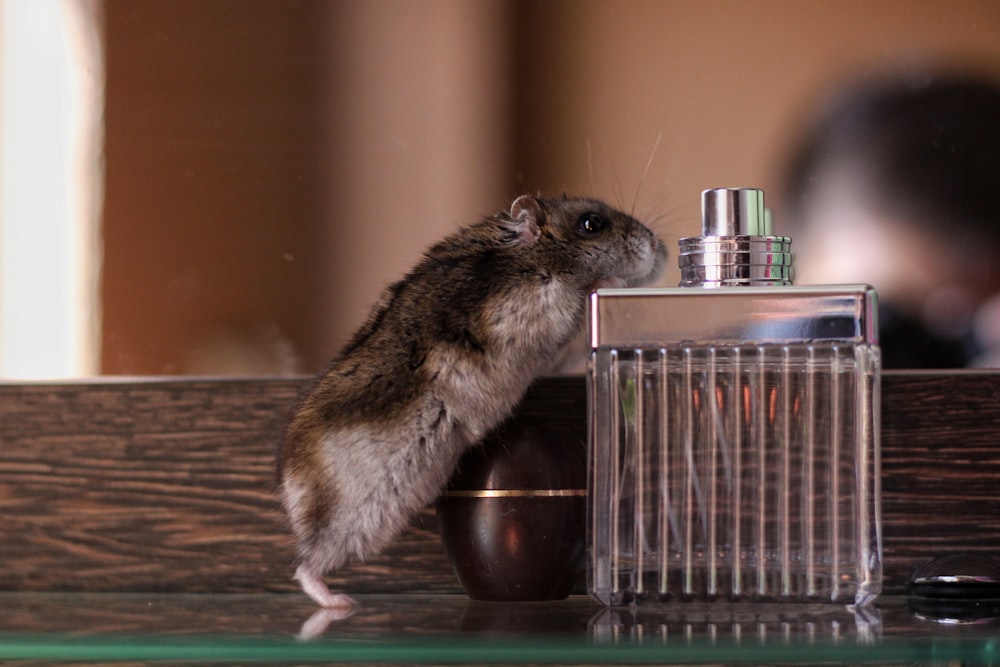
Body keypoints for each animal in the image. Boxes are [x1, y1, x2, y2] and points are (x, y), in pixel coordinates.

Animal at [278, 194, 664, 612]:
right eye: (592, 224)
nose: (658, 247)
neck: (526, 253)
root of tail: (290, 488)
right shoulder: (533, 304)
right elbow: (582, 292)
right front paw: (613, 283)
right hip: (357, 514)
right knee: (305, 565)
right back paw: (341, 601)